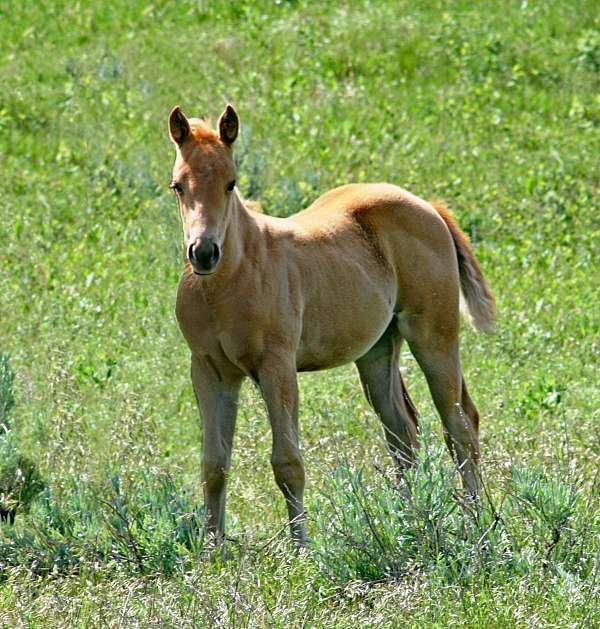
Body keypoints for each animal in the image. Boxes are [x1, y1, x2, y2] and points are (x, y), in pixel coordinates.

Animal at [166, 103, 494, 544]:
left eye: (231, 184)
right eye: (178, 186)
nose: (203, 252)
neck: (227, 284)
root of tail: (428, 206)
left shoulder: (277, 366)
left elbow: (287, 463)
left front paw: (301, 549)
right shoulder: (209, 371)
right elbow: (213, 465)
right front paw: (212, 550)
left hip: (434, 335)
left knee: (459, 425)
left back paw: (476, 524)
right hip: (377, 349)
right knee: (403, 432)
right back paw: (411, 522)